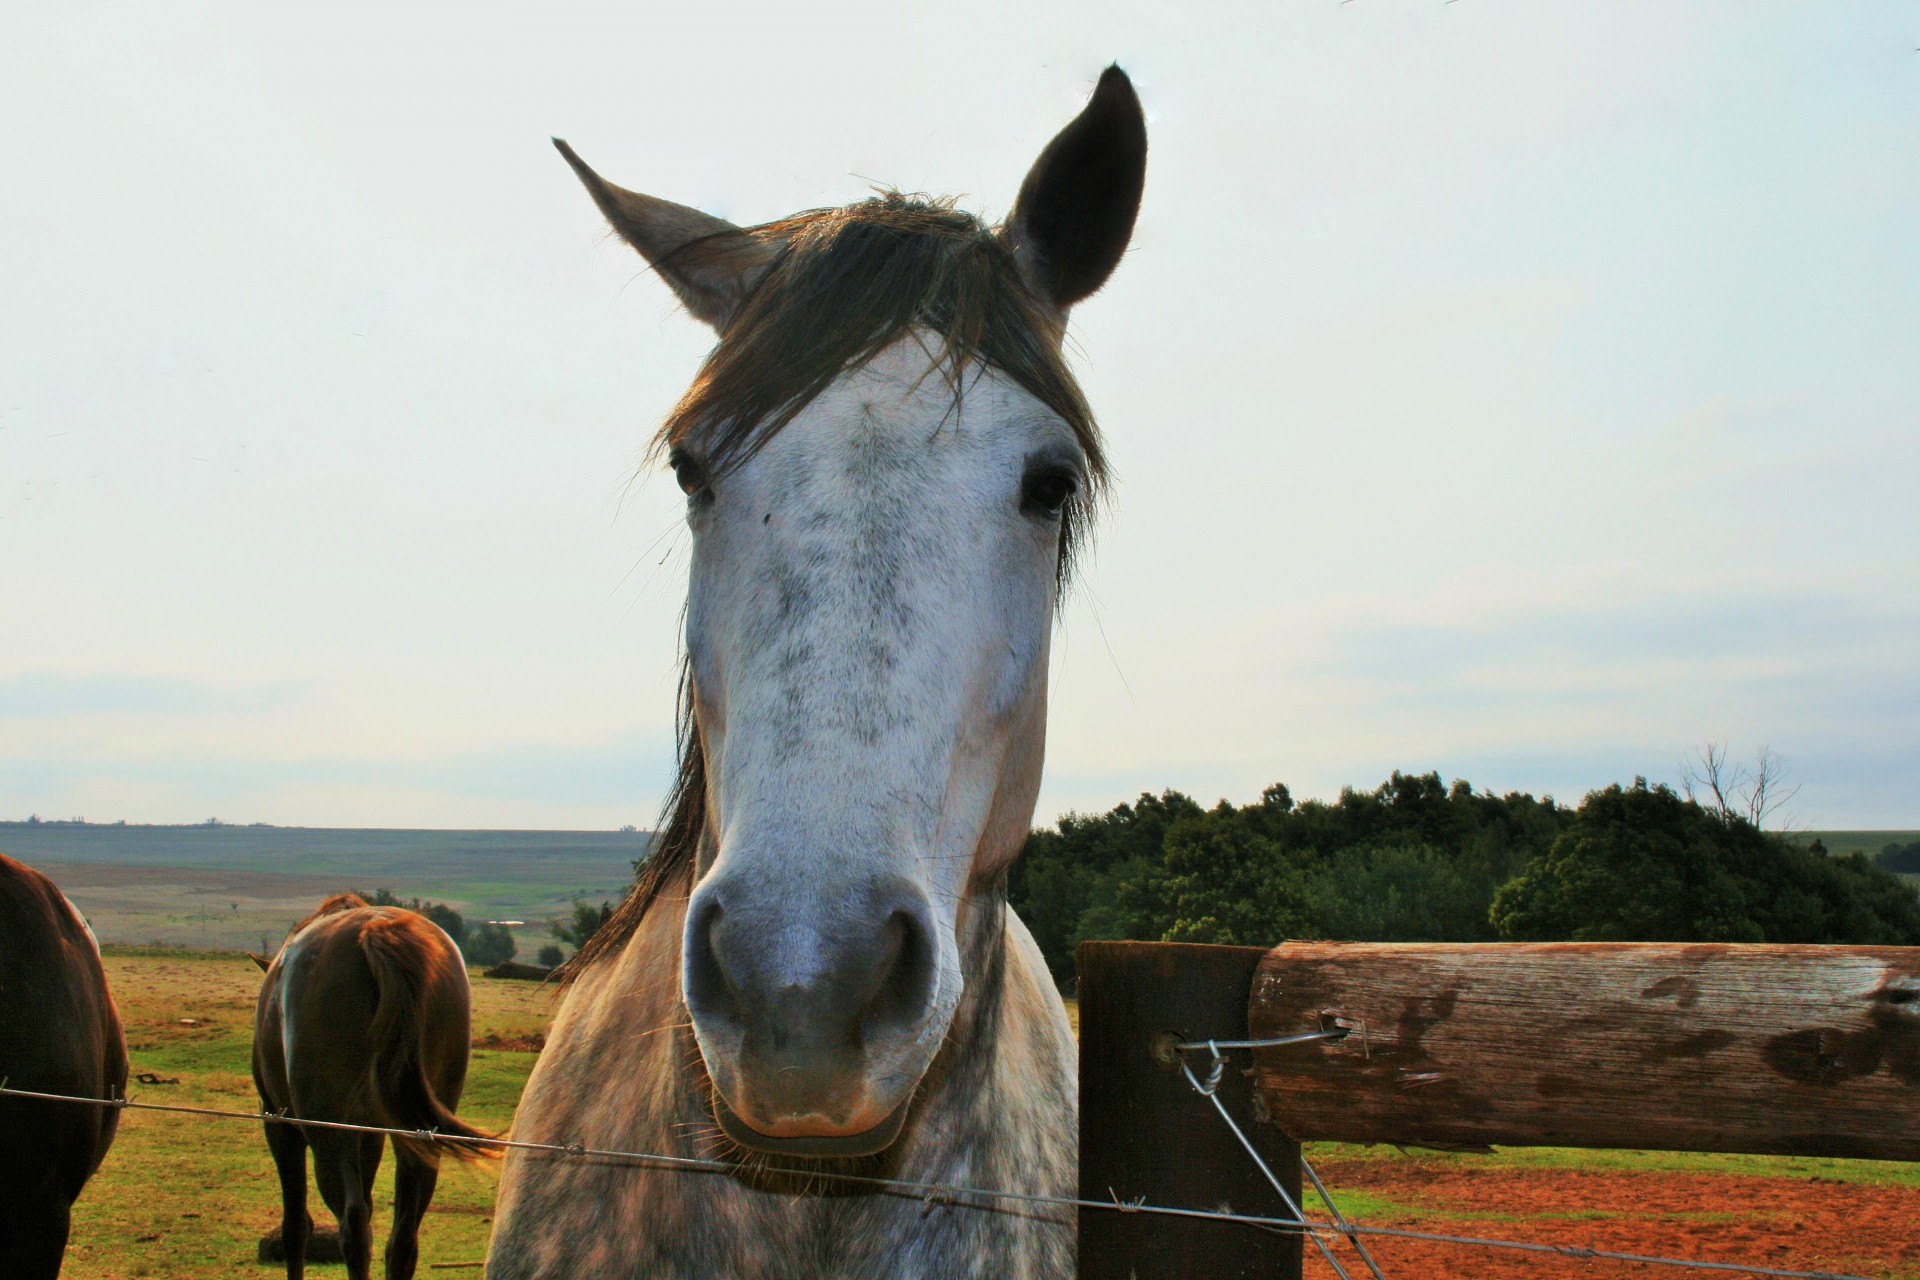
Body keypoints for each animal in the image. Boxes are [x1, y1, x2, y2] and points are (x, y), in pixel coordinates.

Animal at [253, 898, 495, 1280]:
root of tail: (377, 931)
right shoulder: (371, 1135)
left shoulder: (280, 1125)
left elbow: (295, 1227)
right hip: (420, 1138)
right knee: (403, 1239)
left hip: (329, 1134)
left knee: (353, 1226)